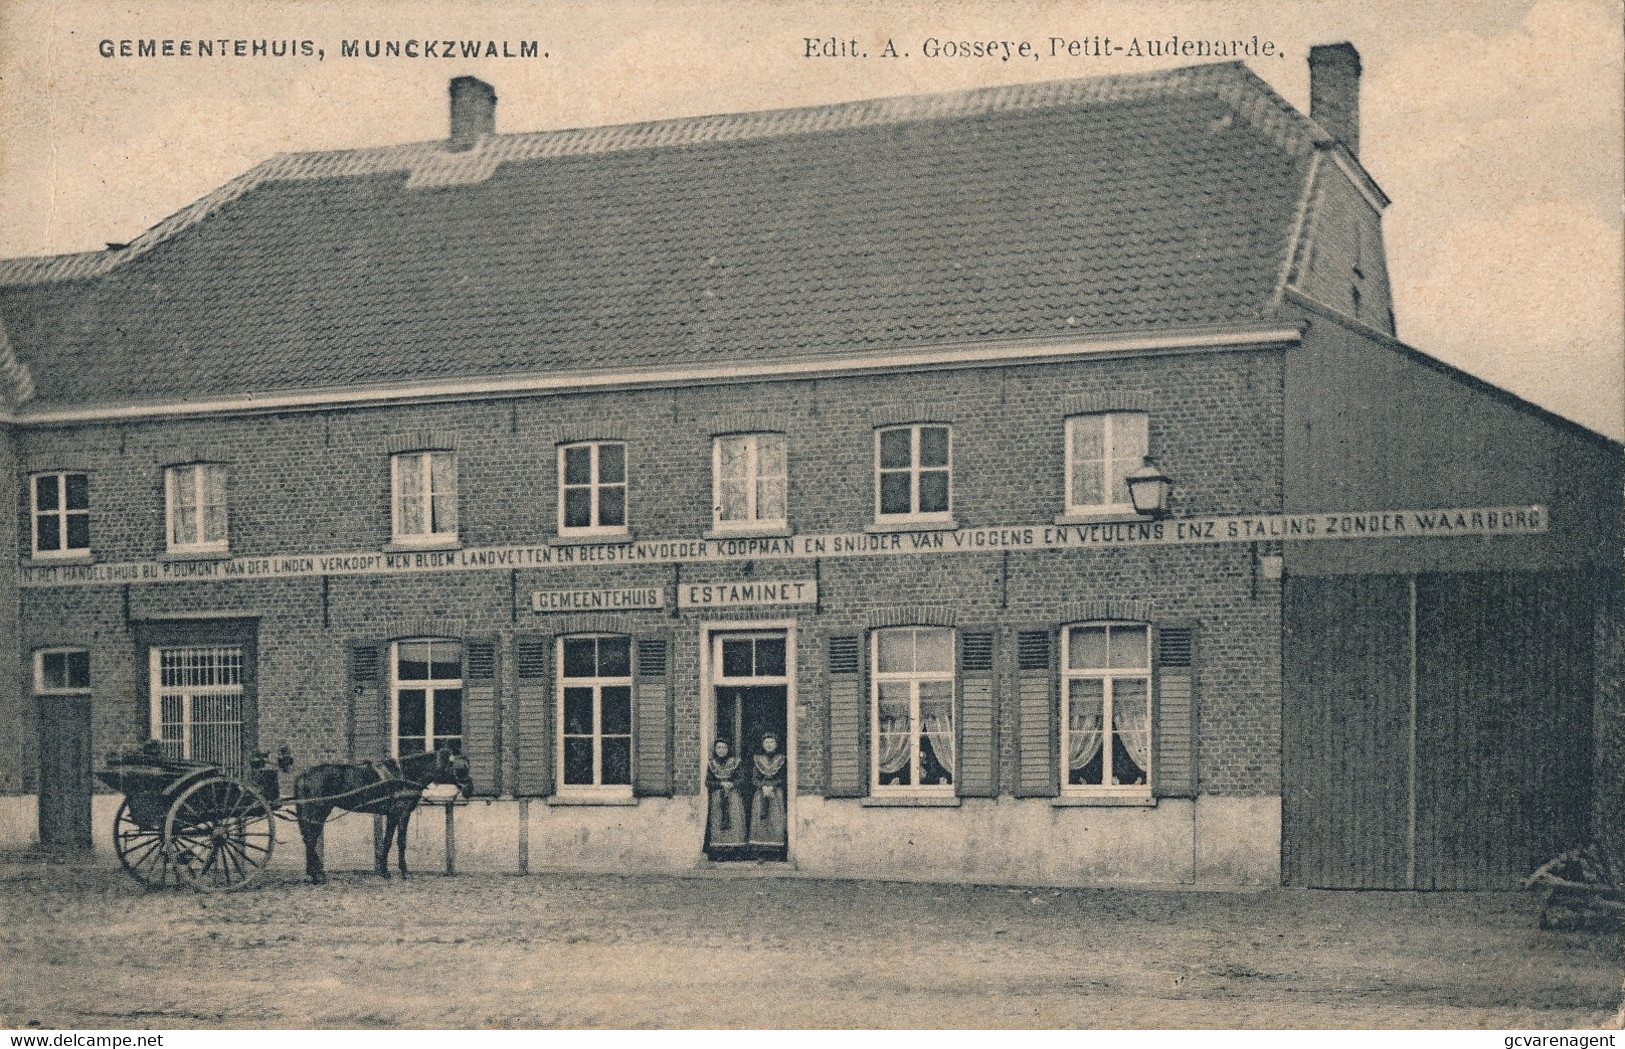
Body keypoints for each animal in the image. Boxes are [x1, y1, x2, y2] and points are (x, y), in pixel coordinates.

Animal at [292, 746, 474, 889]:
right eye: (461, 768)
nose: (470, 789)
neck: (406, 774)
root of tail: (303, 775)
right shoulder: (400, 813)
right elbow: (398, 841)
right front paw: (400, 871)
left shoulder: (393, 815)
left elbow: (388, 841)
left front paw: (384, 870)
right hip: (319, 810)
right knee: (310, 839)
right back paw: (318, 875)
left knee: (309, 839)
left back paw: (314, 873)